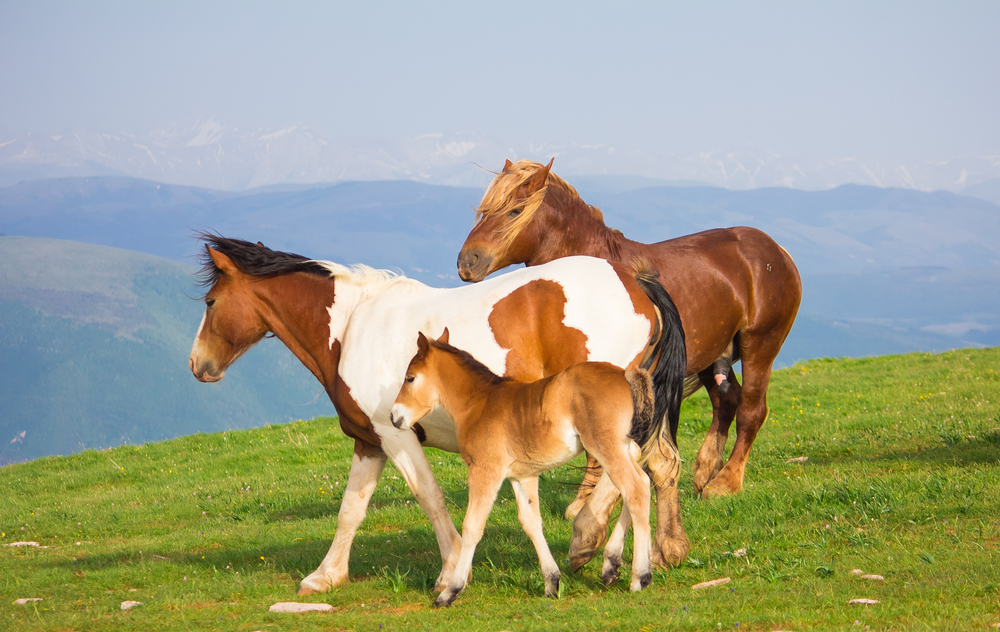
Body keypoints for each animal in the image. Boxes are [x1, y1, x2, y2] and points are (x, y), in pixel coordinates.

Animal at [390, 328, 672, 604]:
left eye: (410, 378)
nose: (394, 417)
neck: (480, 403)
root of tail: (626, 375)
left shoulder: (485, 470)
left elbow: (472, 526)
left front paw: (450, 591)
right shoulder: (522, 476)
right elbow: (531, 523)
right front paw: (552, 582)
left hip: (606, 447)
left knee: (635, 489)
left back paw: (640, 576)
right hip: (627, 447)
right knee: (639, 483)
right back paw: (612, 565)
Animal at [460, 162, 804, 498]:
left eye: (514, 211)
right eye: (484, 211)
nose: (467, 261)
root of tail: (777, 251)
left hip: (760, 344)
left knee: (751, 410)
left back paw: (725, 483)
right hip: (711, 351)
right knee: (727, 401)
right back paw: (705, 473)